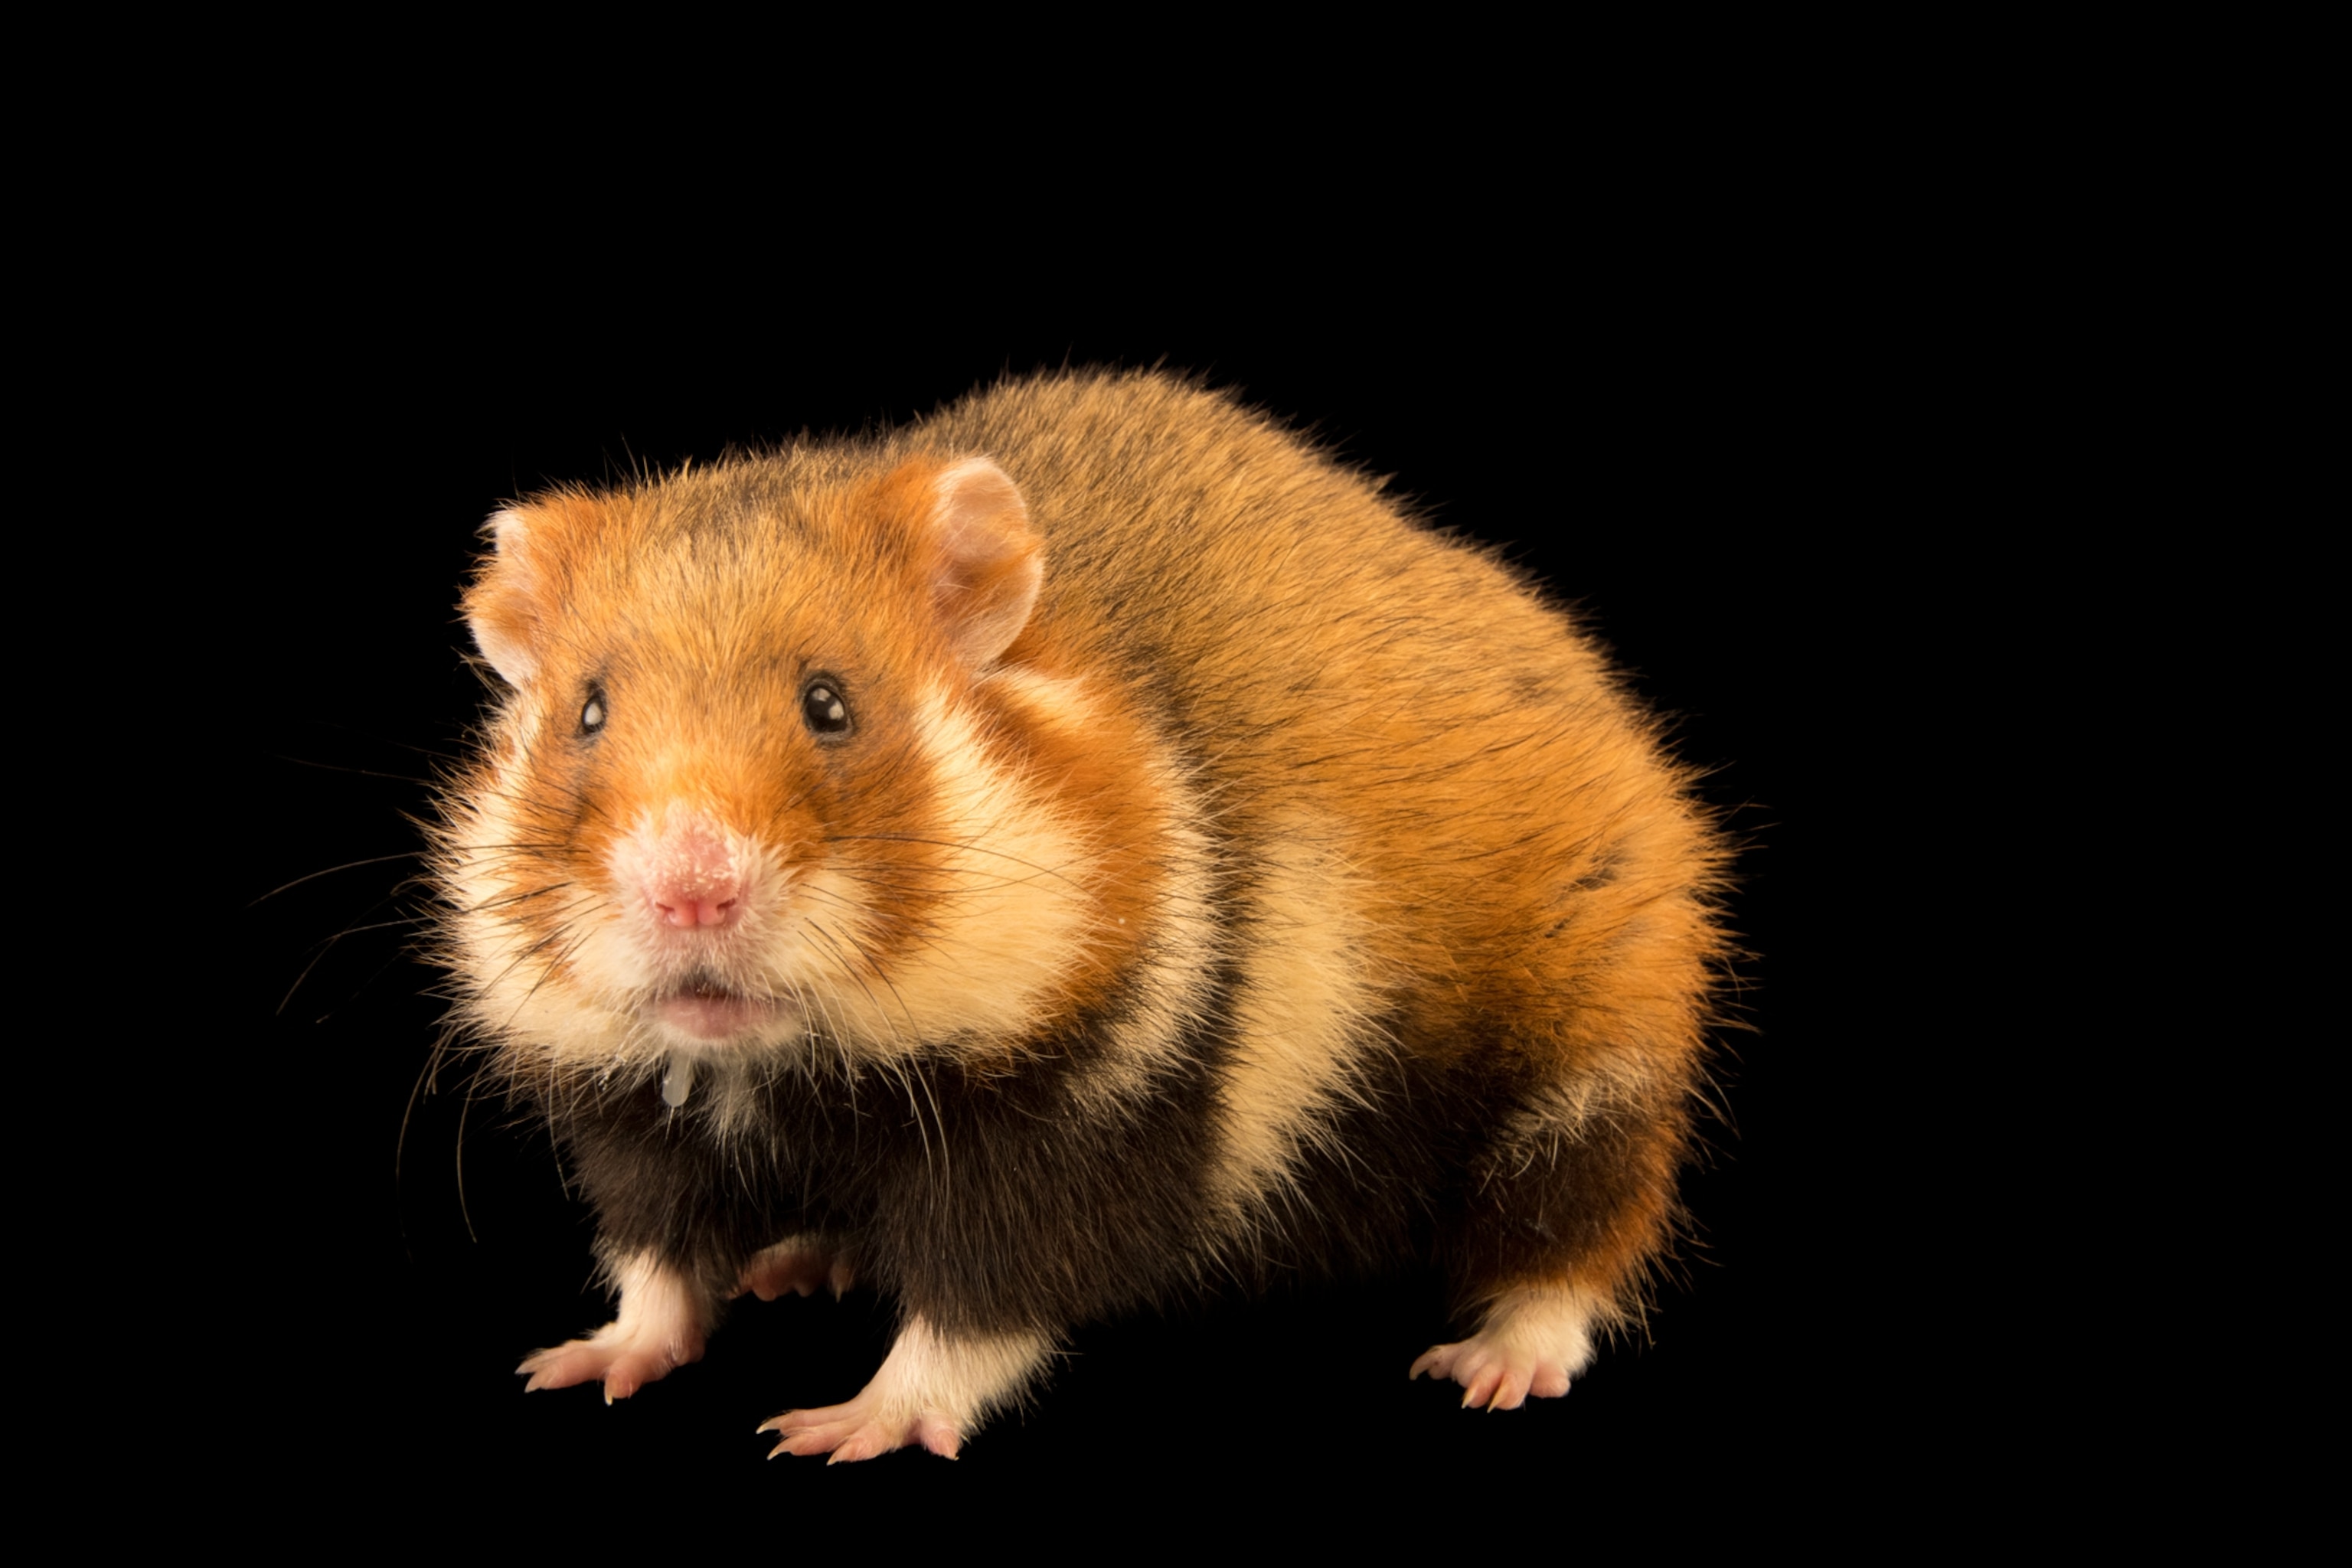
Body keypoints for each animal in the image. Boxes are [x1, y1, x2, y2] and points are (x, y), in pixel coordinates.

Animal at [434, 369, 1730, 1462]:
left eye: (830, 704)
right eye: (587, 712)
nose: (688, 889)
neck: (799, 1070)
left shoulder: (1096, 1115)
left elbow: (974, 1313)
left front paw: (842, 1429)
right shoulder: (631, 1120)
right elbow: (658, 1261)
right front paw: (584, 1361)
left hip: (1595, 1067)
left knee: (1576, 1244)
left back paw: (1492, 1369)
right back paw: (803, 1259)